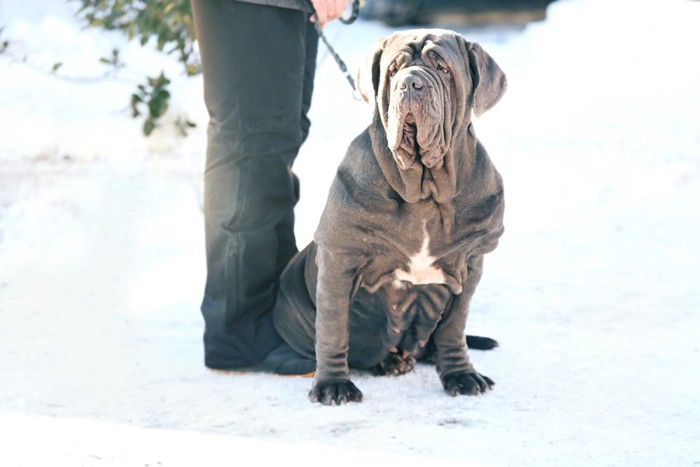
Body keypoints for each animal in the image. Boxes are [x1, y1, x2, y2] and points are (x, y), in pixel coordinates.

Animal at [270, 28, 506, 406]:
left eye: (442, 68)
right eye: (393, 71)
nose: (411, 83)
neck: (426, 191)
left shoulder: (471, 263)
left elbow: (454, 326)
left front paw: (461, 374)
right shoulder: (339, 258)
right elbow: (333, 326)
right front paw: (333, 384)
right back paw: (388, 363)